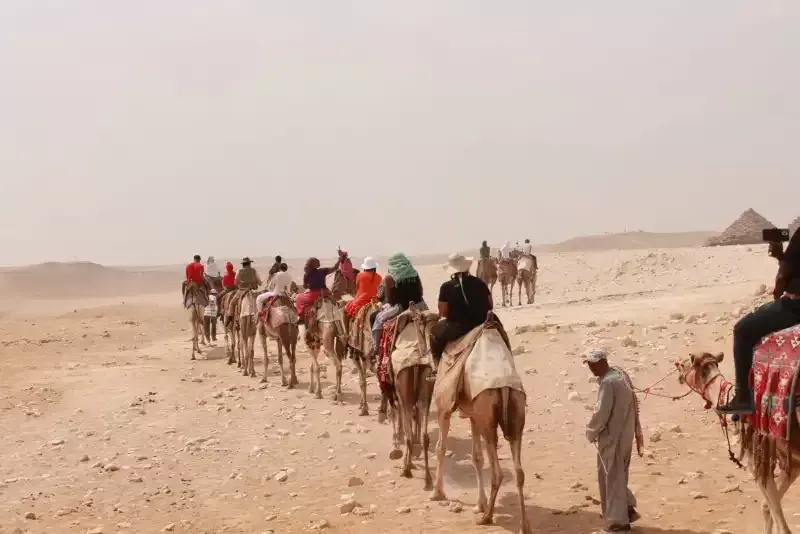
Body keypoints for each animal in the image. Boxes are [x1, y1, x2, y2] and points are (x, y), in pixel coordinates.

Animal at [428, 314, 528, 534]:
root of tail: (504, 386)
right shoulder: (474, 416)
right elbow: (477, 457)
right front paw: (479, 504)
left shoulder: (443, 408)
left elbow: (441, 448)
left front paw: (436, 492)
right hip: (514, 414)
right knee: (519, 471)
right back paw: (524, 526)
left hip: (487, 419)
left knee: (498, 472)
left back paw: (487, 517)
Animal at [680, 350, 800, 532]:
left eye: (685, 364)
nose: (678, 371)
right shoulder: (791, 463)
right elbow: (767, 507)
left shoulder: (759, 460)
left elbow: (777, 518)